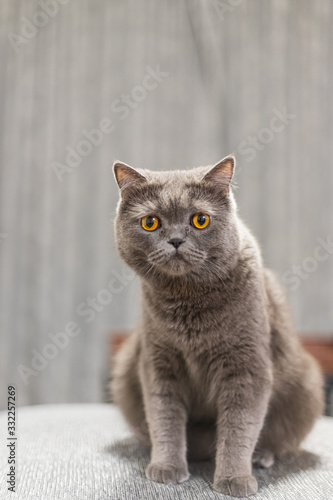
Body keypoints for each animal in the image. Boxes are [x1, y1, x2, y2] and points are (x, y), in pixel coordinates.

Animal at [110, 156, 322, 496]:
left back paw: (261, 456)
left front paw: (234, 480)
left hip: (306, 383)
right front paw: (166, 468)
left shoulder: (247, 365)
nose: (176, 240)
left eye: (200, 220)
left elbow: (239, 426)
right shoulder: (158, 362)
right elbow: (163, 417)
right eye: (150, 222)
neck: (188, 302)